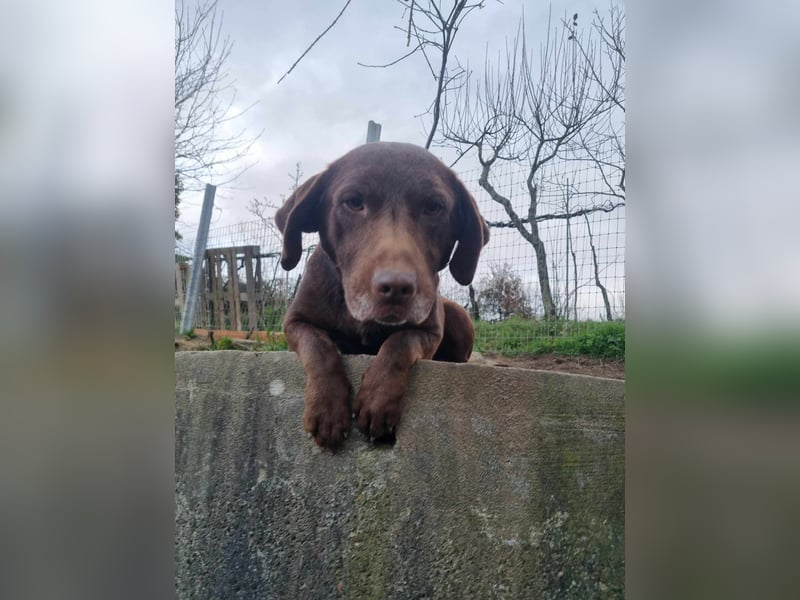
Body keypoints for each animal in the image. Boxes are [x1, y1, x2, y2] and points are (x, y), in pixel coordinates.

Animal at [275, 142, 489, 449]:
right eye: (353, 202)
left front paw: (377, 400)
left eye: (434, 207)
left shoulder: (429, 330)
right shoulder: (294, 322)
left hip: (458, 315)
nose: (396, 289)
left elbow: (400, 343)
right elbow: (319, 346)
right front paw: (327, 409)